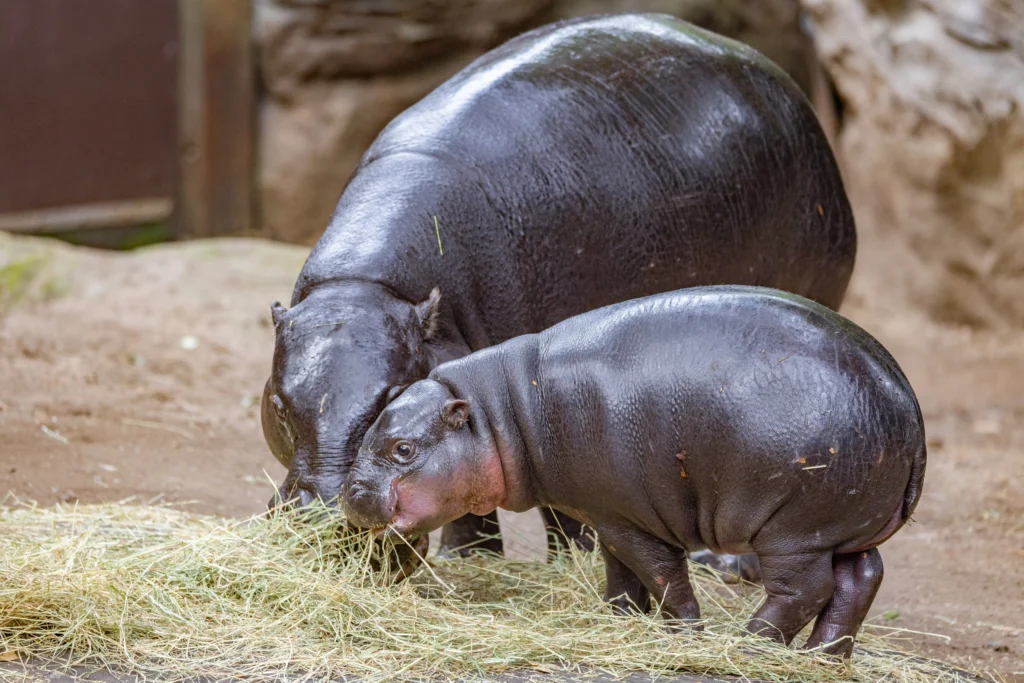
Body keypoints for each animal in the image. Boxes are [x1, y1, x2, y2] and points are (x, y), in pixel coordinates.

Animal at [262, 12, 856, 565]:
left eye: (391, 396)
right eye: (278, 402)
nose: (327, 514)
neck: (369, 288)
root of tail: (781, 82)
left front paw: (573, 561)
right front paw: (468, 559)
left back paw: (725, 562)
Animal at [344, 284, 929, 655]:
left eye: (402, 449)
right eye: (372, 429)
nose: (352, 492)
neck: (500, 413)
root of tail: (905, 399)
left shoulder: (632, 518)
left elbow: (662, 573)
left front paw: (684, 633)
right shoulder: (608, 515)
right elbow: (620, 569)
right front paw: (617, 617)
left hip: (793, 529)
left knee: (805, 590)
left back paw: (748, 643)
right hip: (840, 524)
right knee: (861, 579)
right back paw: (822, 657)